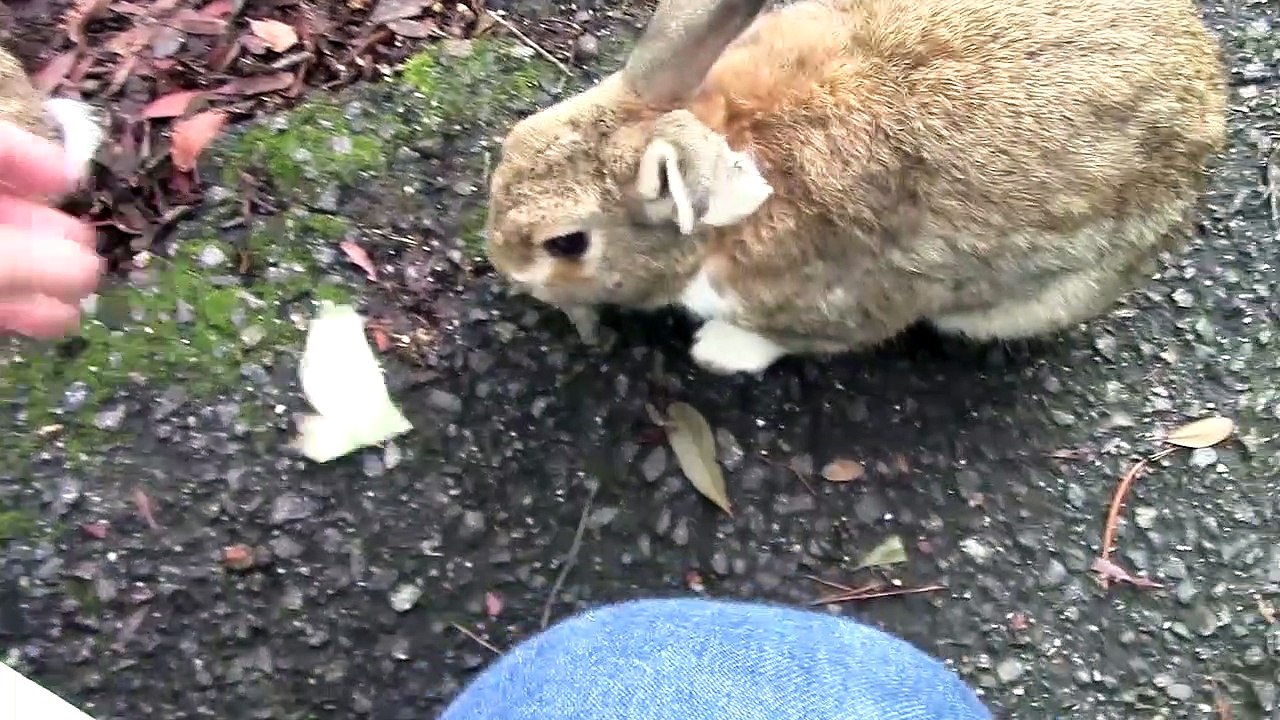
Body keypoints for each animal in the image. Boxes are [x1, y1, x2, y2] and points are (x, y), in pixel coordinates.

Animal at [484, 0, 1228, 375]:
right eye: (514, 140)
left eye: (566, 244)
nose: (498, 258)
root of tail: (1211, 105)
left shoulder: (849, 306)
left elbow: (794, 338)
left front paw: (718, 352)